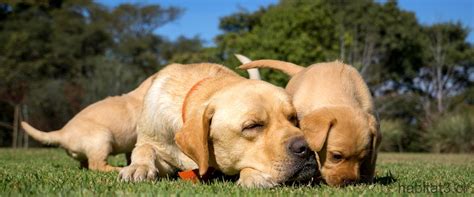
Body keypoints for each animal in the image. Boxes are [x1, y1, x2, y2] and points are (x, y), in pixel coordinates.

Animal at [22, 74, 156, 172]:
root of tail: (62, 133)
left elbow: (131, 154)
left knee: (85, 165)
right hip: (101, 138)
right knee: (97, 165)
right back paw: (118, 169)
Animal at [119, 63, 318, 188]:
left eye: (293, 118)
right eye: (252, 126)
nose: (307, 147)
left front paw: (254, 175)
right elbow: (144, 148)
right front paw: (139, 167)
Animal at [241, 56, 382, 186]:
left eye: (362, 158)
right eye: (336, 156)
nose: (350, 182)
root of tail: (303, 69)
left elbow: (371, 163)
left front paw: (367, 181)